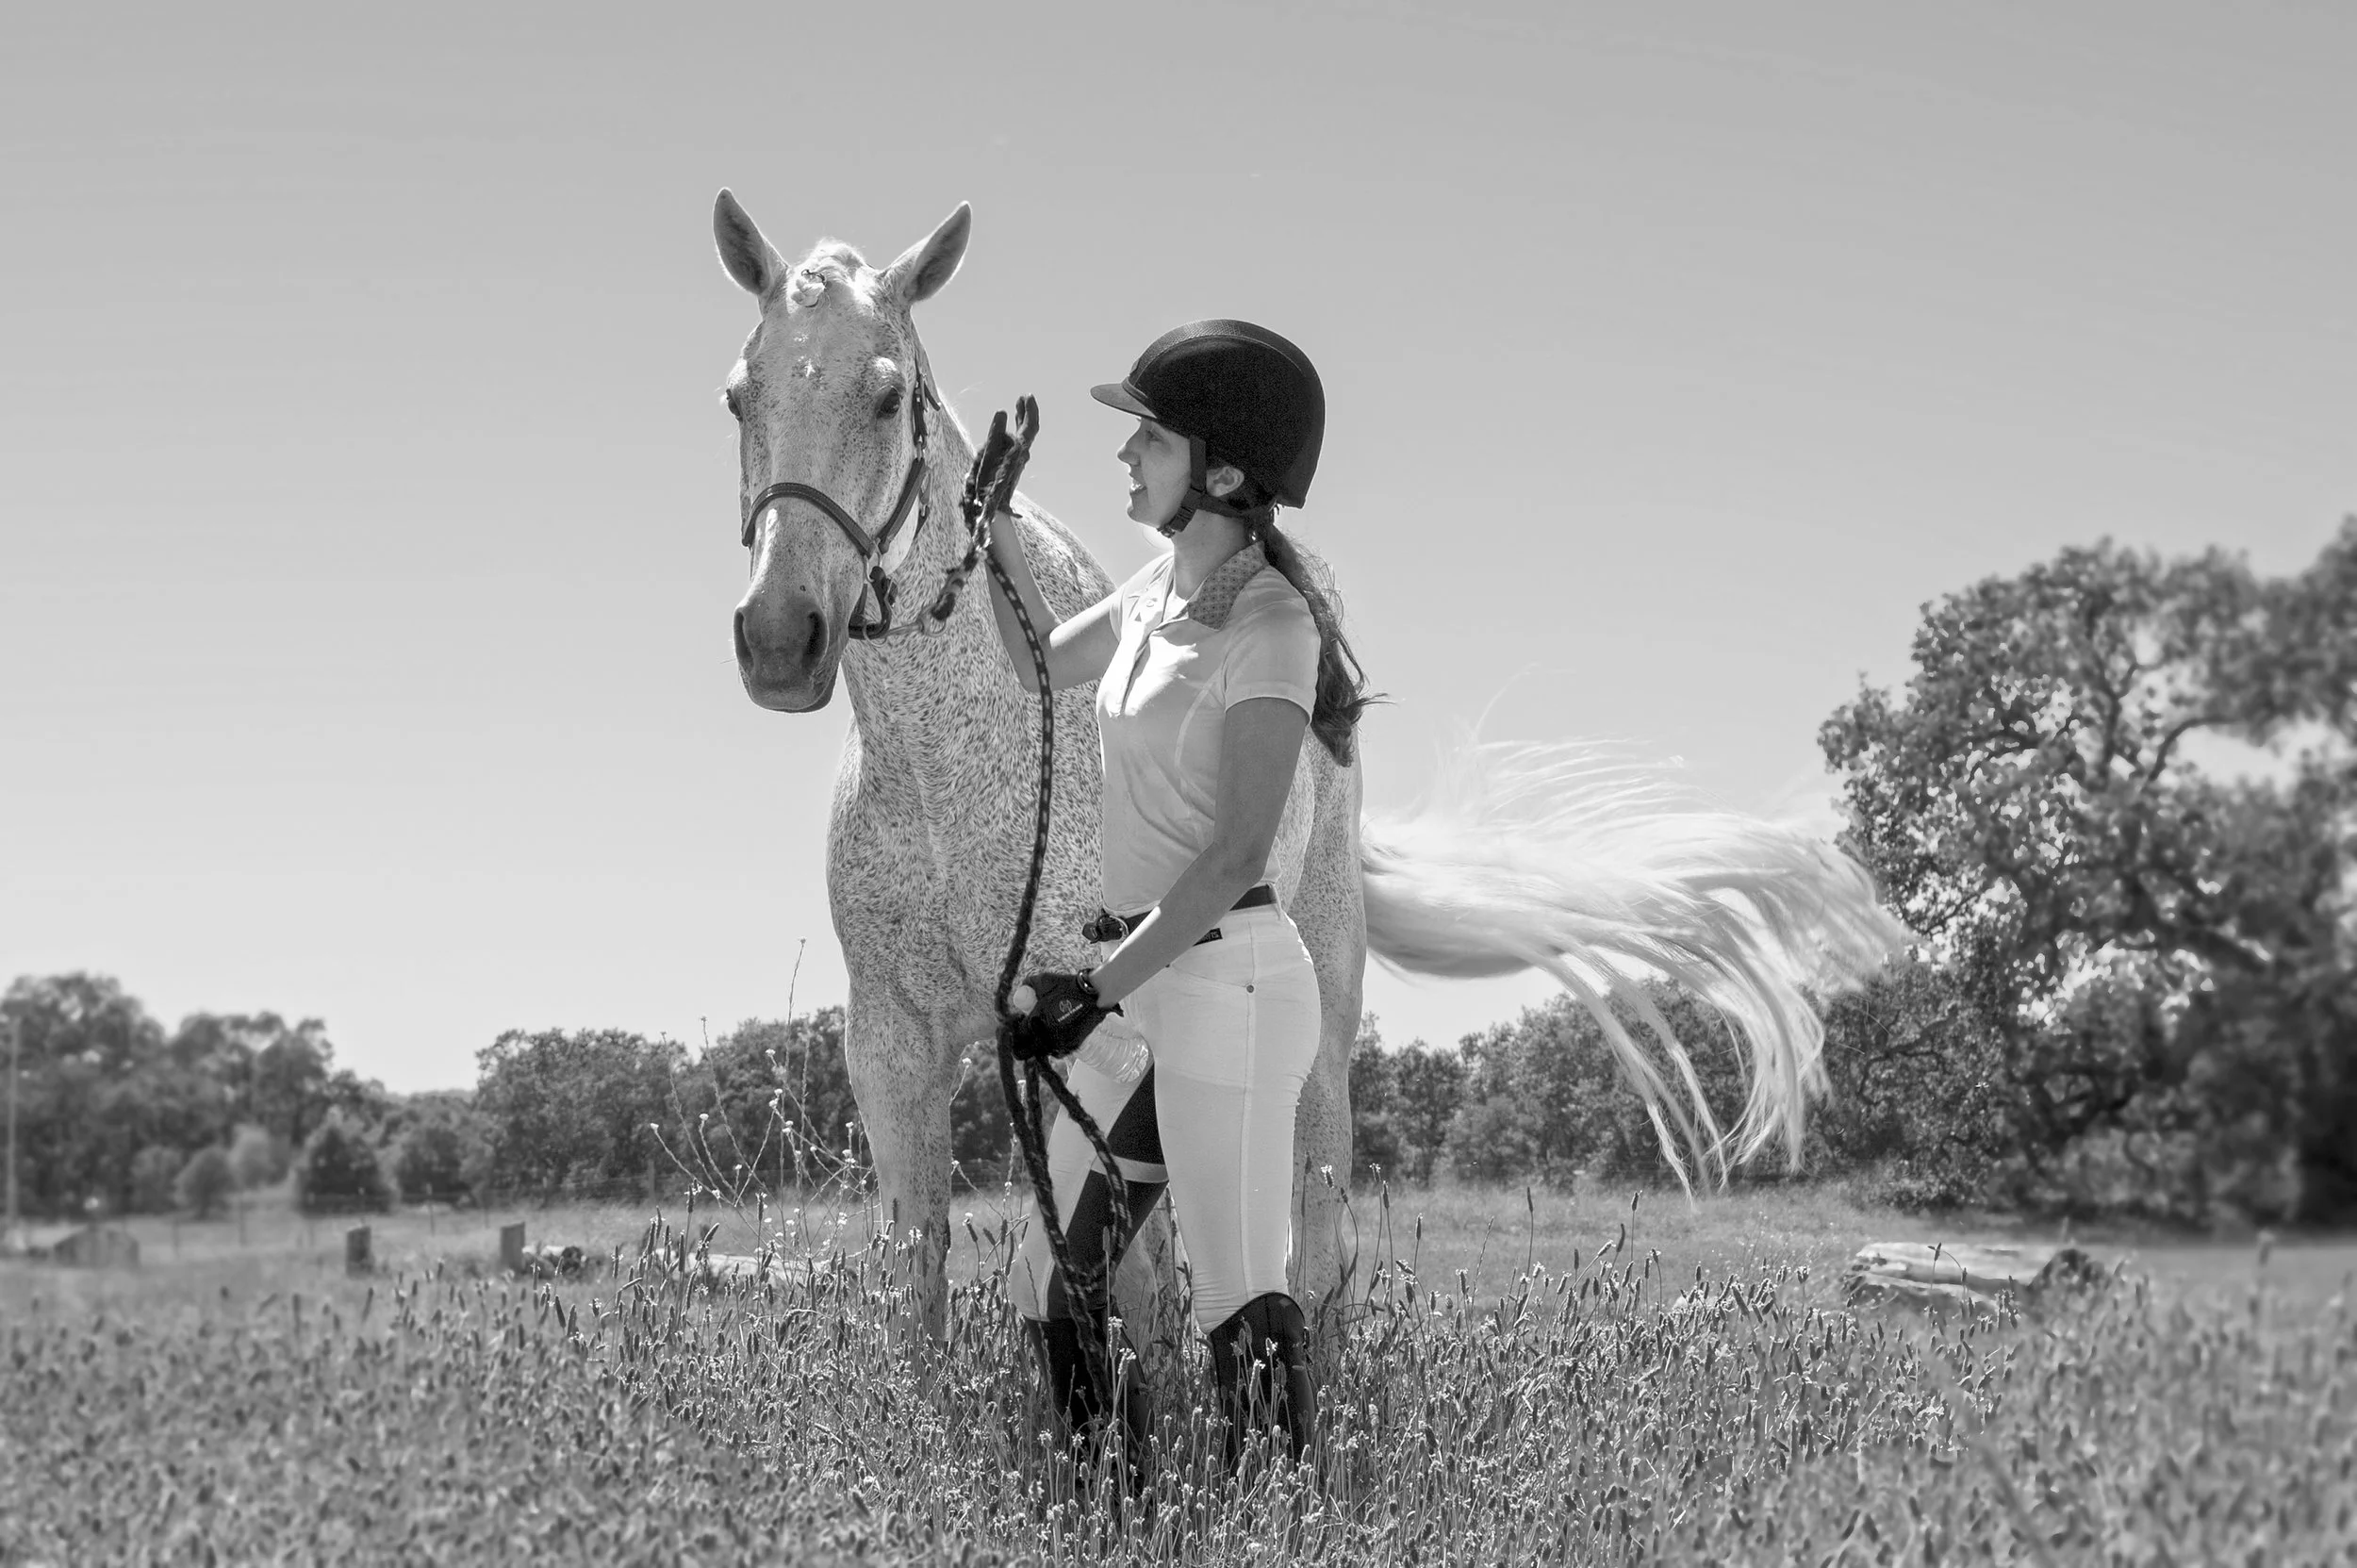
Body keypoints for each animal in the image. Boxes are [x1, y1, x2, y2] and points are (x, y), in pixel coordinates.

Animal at [712, 195, 1904, 1342]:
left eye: (885, 397)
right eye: (738, 395)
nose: (779, 638)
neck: (944, 771)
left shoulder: (1094, 1043)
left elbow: (1133, 1293)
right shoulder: (892, 1052)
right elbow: (920, 1287)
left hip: (1322, 1008)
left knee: (1311, 1249)